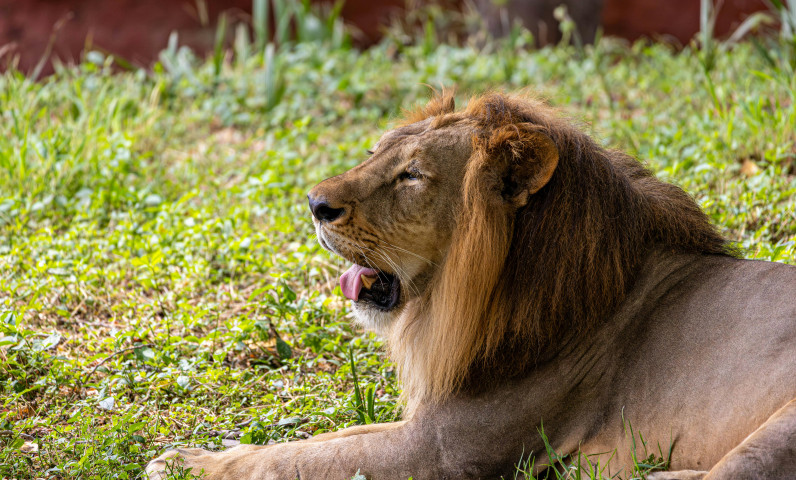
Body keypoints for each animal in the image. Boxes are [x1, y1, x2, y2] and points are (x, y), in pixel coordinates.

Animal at [149, 92, 796, 478]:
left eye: (411, 176)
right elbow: (321, 440)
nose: (314, 204)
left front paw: (183, 463)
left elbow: (303, 461)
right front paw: (210, 450)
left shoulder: (441, 450)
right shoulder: (426, 423)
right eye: (375, 153)